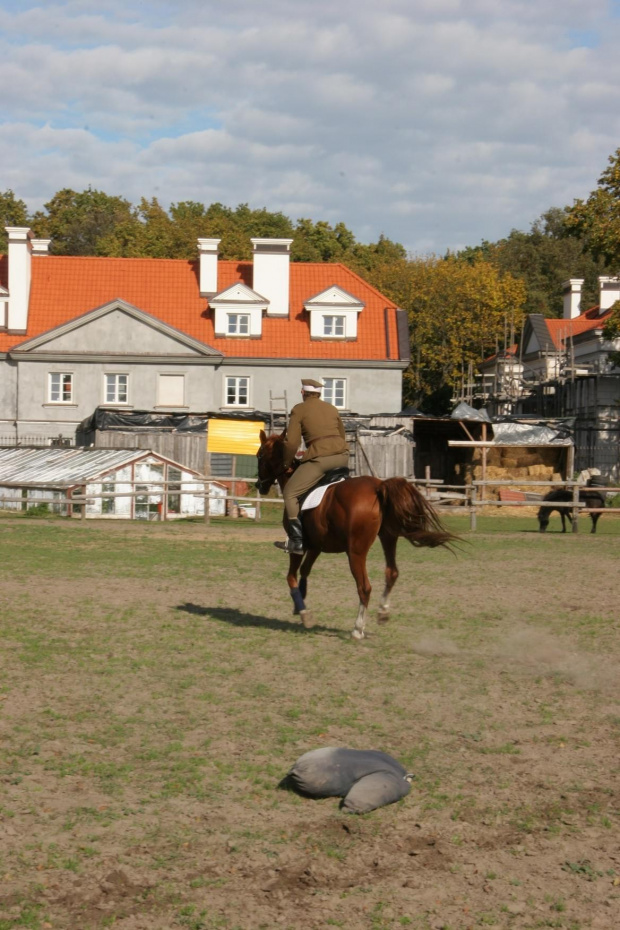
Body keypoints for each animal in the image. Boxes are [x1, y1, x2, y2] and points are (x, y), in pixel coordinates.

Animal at [256, 430, 456, 640]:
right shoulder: (316, 546)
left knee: (364, 588)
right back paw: (382, 612)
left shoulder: (298, 547)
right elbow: (305, 571)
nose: (260, 485)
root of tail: (378, 486)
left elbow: (291, 577)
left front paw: (303, 613)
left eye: (259, 455)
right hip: (388, 537)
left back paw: (357, 629)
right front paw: (299, 602)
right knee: (391, 572)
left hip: (355, 552)